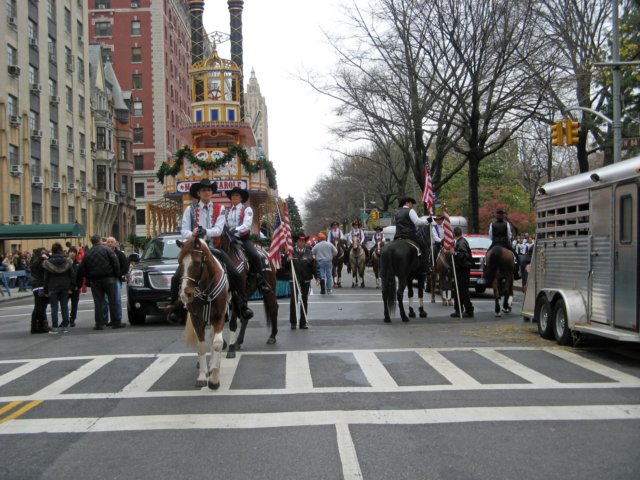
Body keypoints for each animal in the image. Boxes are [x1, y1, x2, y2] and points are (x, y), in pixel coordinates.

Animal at [178, 236, 230, 390]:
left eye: (197, 262)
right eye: (180, 262)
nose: (185, 294)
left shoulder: (219, 316)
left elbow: (217, 343)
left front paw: (214, 378)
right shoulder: (196, 318)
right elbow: (201, 346)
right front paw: (202, 375)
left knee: (213, 338)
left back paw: (213, 365)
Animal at [220, 226, 278, 356]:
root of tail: (266, 253)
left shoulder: (235, 294)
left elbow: (232, 322)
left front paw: (229, 347)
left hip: (269, 289)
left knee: (273, 308)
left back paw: (272, 336)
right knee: (245, 318)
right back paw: (238, 341)